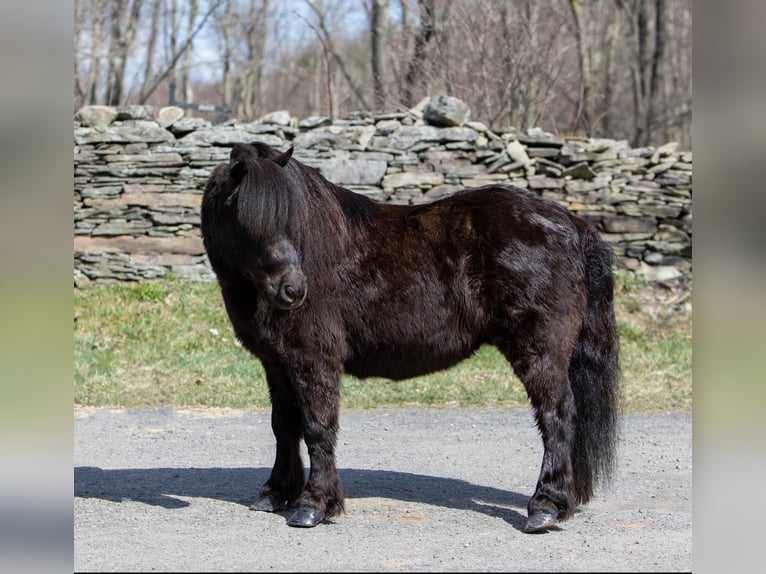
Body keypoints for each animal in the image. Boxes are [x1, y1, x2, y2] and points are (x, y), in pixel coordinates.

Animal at [201, 141, 620, 536]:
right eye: (247, 219)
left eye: (290, 218)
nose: (293, 290)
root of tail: (573, 226)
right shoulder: (277, 362)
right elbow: (284, 424)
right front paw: (275, 493)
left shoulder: (313, 359)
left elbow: (317, 425)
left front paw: (313, 504)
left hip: (539, 352)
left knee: (557, 414)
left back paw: (546, 504)